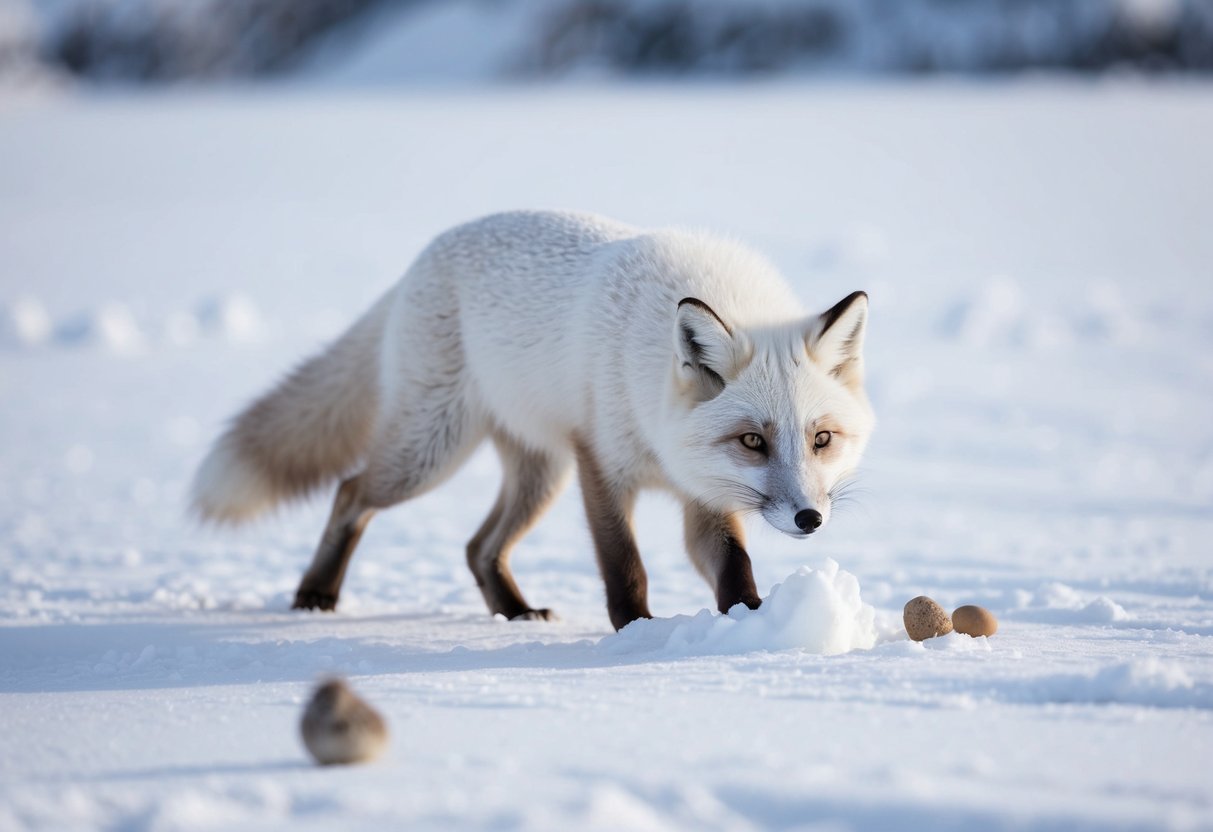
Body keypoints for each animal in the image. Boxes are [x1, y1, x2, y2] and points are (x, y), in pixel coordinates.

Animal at [191, 210, 874, 630]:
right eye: (753, 440)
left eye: (821, 439)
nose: (809, 519)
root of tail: (425, 256)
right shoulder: (600, 464)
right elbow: (625, 564)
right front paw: (636, 633)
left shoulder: (703, 492)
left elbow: (733, 567)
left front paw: (753, 625)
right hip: (429, 454)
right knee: (350, 492)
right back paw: (316, 595)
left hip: (538, 473)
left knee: (478, 548)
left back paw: (515, 613)